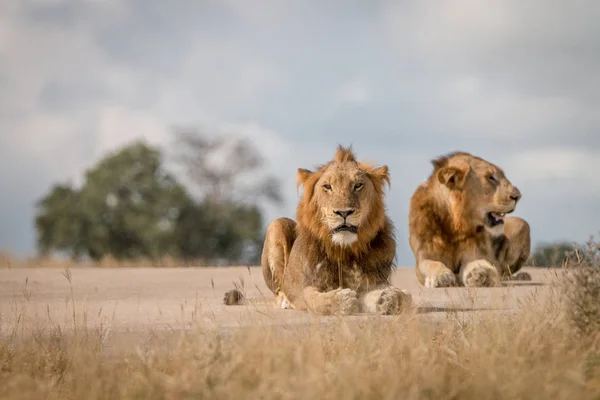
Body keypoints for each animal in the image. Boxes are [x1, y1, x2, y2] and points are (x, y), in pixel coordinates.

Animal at [224, 145, 412, 316]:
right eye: (327, 187)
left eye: (358, 185)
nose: (344, 212)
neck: (345, 250)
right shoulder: (306, 287)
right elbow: (314, 299)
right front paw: (340, 301)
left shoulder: (375, 279)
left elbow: (405, 297)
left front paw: (388, 299)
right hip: (277, 224)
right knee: (280, 292)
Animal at [410, 151, 532, 288]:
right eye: (491, 177)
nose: (518, 196)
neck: (455, 225)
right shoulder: (423, 256)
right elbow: (432, 264)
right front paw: (442, 277)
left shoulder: (475, 254)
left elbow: (480, 262)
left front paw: (482, 275)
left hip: (522, 224)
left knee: (503, 270)